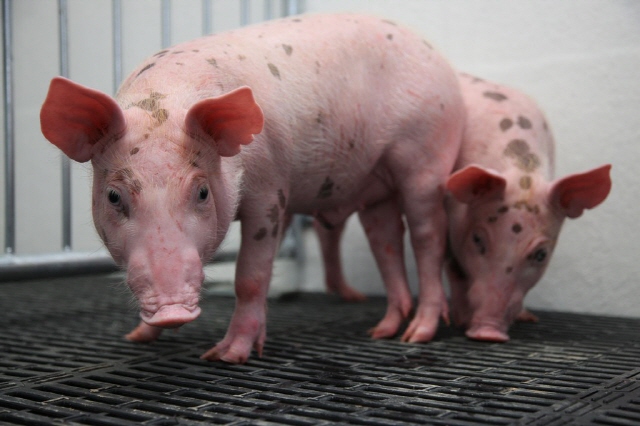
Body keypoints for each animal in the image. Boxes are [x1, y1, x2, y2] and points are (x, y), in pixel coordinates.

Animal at [39, 14, 465, 363]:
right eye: (114, 196)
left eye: (202, 192)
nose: (172, 311)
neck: (164, 99)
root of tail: (435, 54)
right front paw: (137, 338)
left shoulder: (271, 192)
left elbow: (251, 276)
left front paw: (225, 357)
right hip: (375, 185)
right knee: (386, 242)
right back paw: (383, 331)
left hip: (425, 156)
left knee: (427, 237)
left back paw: (416, 336)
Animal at [313, 73, 612, 343]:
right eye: (478, 239)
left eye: (541, 254)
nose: (488, 333)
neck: (521, 171)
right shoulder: (450, 222)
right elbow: (454, 269)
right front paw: (461, 321)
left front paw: (528, 318)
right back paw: (355, 297)